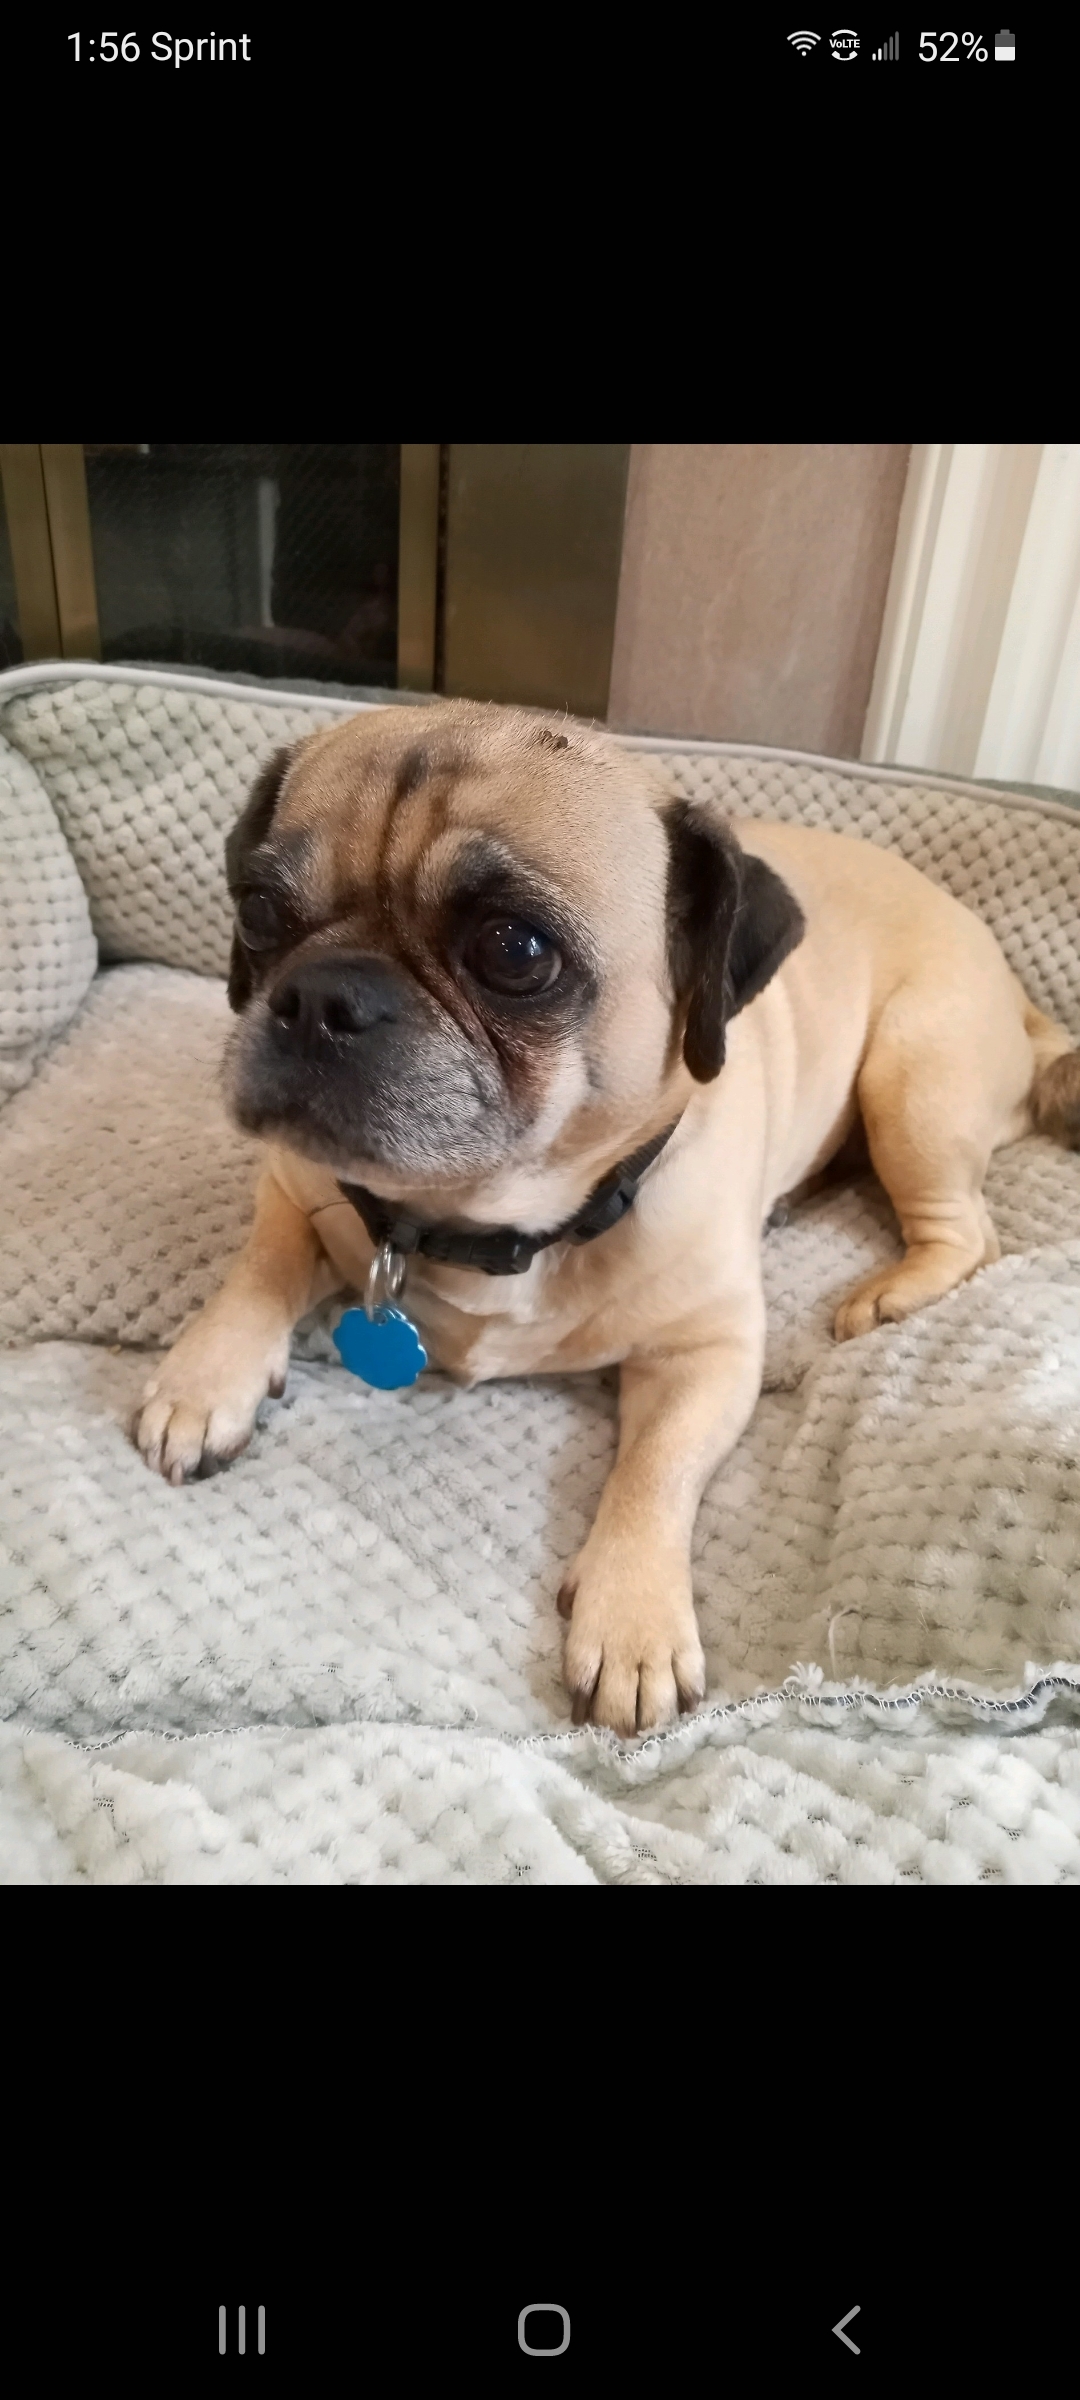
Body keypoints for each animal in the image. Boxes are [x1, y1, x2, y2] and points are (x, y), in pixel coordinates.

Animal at [132, 700, 1080, 1737]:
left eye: (513, 951)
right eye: (259, 911)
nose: (318, 995)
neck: (482, 1220)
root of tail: (1019, 993)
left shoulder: (706, 1357)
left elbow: (654, 1472)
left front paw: (634, 1619)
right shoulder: (292, 1184)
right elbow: (260, 1268)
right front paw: (204, 1381)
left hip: (913, 1078)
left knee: (969, 1232)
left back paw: (891, 1295)